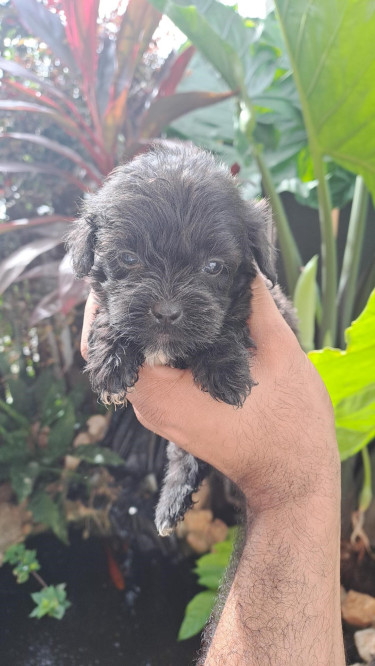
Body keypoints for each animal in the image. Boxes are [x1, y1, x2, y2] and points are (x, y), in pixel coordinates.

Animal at [69, 144, 298, 536]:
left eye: (213, 267)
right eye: (128, 258)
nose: (166, 311)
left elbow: (226, 323)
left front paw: (224, 369)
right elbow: (111, 314)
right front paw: (112, 361)